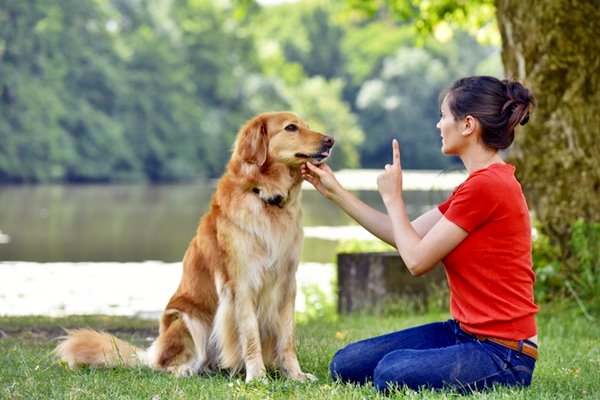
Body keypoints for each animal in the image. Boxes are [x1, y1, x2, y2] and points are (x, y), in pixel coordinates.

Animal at [55, 111, 332, 382]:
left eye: (307, 126)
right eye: (291, 128)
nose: (330, 140)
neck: (265, 197)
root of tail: (149, 354)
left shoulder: (287, 283)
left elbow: (287, 337)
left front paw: (294, 374)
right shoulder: (241, 284)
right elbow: (250, 334)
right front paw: (256, 377)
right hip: (188, 320)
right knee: (165, 365)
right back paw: (186, 370)